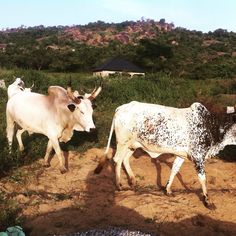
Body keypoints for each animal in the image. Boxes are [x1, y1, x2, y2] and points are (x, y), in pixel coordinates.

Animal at [95, 100, 236, 207]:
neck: (212, 126)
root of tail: (121, 107)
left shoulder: (181, 155)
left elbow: (174, 170)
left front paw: (168, 190)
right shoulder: (198, 157)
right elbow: (203, 179)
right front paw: (208, 201)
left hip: (132, 145)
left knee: (124, 159)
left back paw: (133, 181)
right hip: (122, 142)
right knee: (117, 160)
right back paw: (119, 185)